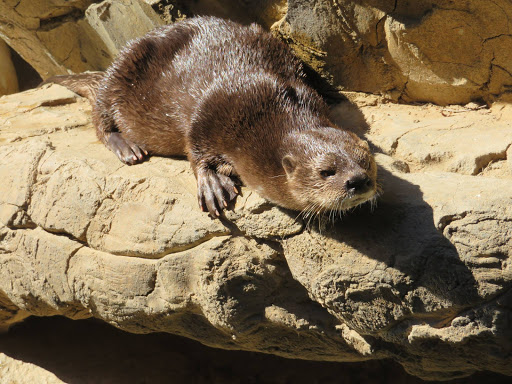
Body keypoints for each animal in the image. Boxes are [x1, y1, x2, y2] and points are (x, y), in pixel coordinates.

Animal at [44, 16, 378, 218]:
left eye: (366, 162)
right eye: (326, 171)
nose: (358, 181)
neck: (272, 105)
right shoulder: (210, 114)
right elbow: (196, 150)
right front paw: (213, 186)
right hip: (122, 69)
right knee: (100, 115)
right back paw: (127, 147)